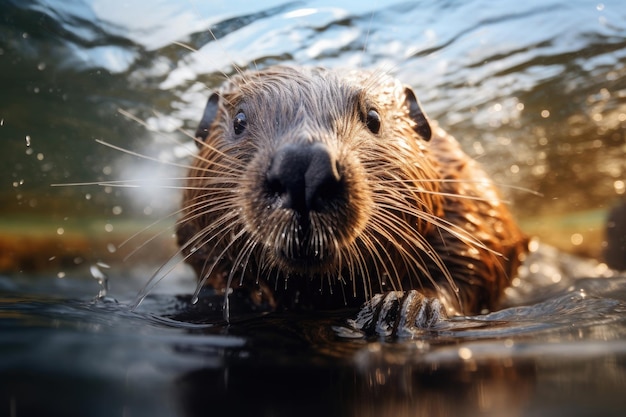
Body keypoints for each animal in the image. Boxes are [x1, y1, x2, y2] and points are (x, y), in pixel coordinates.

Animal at [176, 66, 528, 334]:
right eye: (239, 121)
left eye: (373, 117)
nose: (303, 167)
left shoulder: (469, 198)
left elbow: (480, 263)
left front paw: (400, 307)